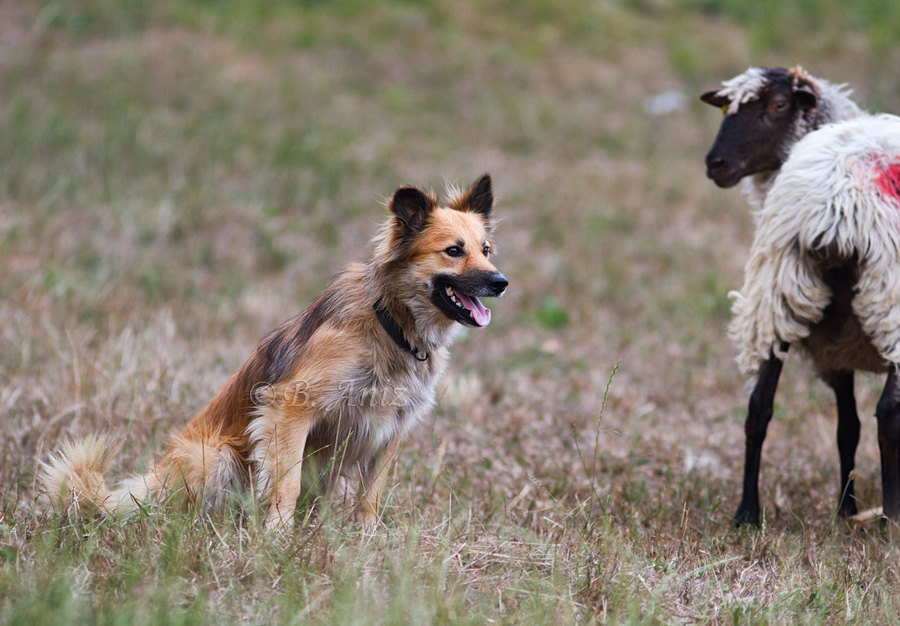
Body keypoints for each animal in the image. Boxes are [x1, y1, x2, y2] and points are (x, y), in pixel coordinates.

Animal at [41, 174, 508, 529]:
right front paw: (277, 538)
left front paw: (366, 540)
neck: (392, 325)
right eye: (453, 250)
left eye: (486, 250)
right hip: (217, 457)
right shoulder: (289, 407)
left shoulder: (391, 429)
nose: (501, 282)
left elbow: (371, 494)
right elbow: (287, 483)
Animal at [701, 66, 900, 526]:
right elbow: (857, 424)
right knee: (888, 415)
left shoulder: (837, 343)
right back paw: (891, 517)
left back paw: (747, 513)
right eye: (727, 108)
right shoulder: (841, 345)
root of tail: (838, 204)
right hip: (887, 300)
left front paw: (846, 510)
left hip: (779, 293)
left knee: (758, 407)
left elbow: (847, 429)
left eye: (778, 106)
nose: (715, 164)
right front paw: (852, 509)